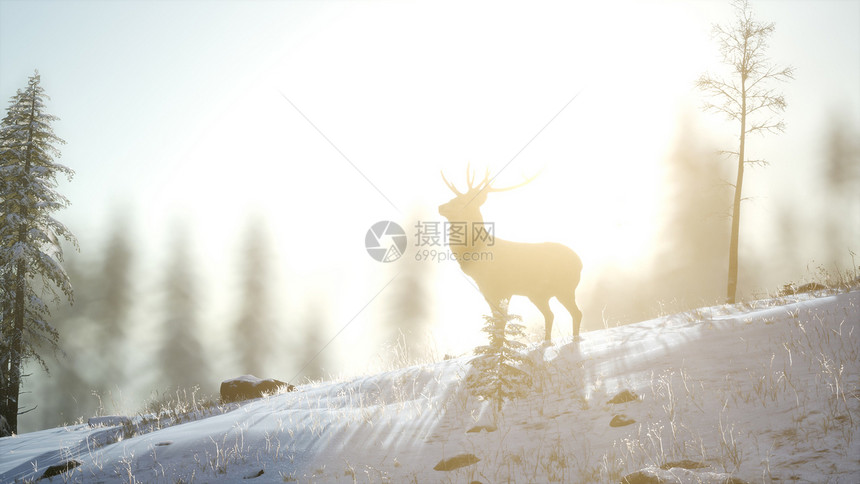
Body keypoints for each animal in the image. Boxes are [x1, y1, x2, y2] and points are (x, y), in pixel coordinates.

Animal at [436, 168, 584, 342]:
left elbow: (500, 323)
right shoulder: (487, 290)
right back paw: (546, 342)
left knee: (576, 313)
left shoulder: (502, 288)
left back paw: (574, 340)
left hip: (564, 288)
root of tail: (580, 263)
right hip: (538, 294)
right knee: (550, 314)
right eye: (453, 198)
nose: (441, 207)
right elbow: (496, 322)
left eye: (462, 201)